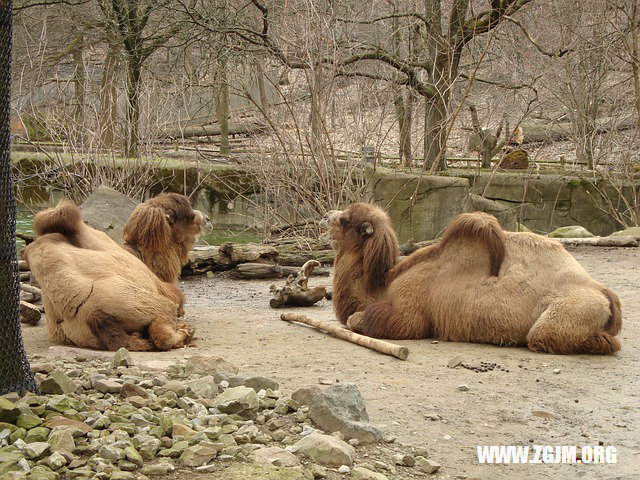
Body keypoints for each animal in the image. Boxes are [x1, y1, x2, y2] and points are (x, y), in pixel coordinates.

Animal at [322, 201, 624, 354]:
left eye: (346, 220)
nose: (326, 215)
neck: (383, 285)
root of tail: (602, 292)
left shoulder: (408, 315)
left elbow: (357, 320)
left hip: (563, 316)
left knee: (549, 337)